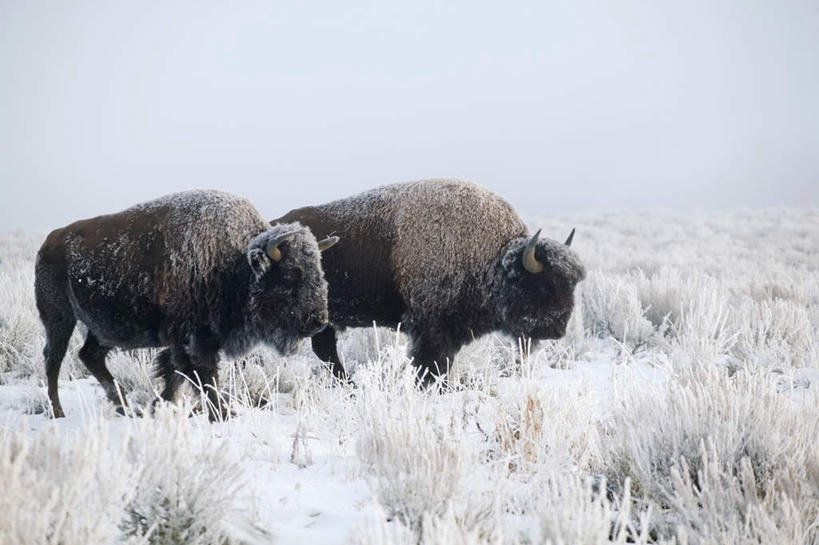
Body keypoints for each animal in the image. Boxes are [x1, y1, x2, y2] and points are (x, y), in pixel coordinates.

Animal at [35, 189, 336, 418]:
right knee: (53, 360)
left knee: (90, 356)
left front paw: (157, 407)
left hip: (102, 329)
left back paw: (125, 408)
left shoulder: (186, 341)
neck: (236, 262)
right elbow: (202, 375)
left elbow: (176, 374)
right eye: (291, 273)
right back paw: (58, 412)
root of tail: (49, 241)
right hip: (59, 318)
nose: (319, 320)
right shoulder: (194, 339)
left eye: (320, 270)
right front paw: (223, 414)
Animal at [278, 178, 588, 382]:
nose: (557, 329)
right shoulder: (431, 332)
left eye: (572, 285)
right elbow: (430, 367)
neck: (494, 257)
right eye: (544, 285)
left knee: (326, 350)